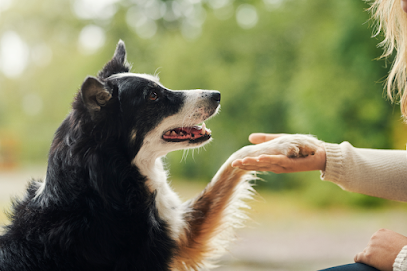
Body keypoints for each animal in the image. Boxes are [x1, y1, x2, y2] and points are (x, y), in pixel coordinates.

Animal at [0, 41, 322, 271]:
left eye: (160, 86)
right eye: (153, 96)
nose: (217, 94)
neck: (103, 186)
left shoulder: (181, 231)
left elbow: (234, 159)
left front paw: (291, 141)